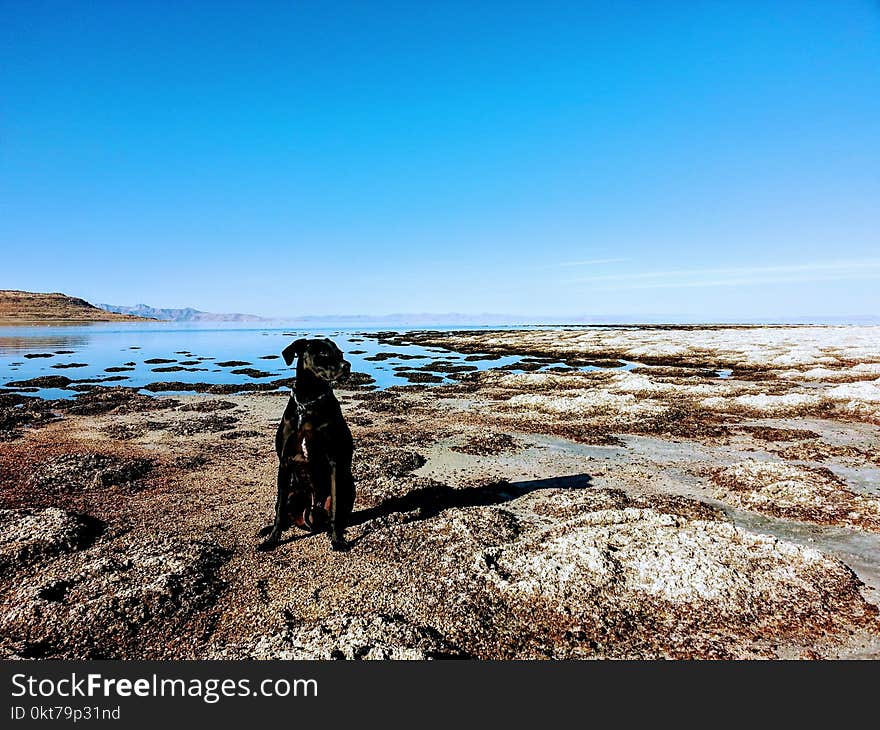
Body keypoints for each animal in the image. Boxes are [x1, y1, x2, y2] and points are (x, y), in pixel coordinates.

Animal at [260, 338, 356, 548]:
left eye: (340, 353)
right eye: (323, 353)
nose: (347, 366)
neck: (308, 401)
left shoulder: (333, 462)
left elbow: (335, 509)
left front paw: (337, 540)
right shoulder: (284, 463)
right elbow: (279, 511)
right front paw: (272, 539)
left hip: (348, 485)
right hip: (292, 491)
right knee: (283, 511)